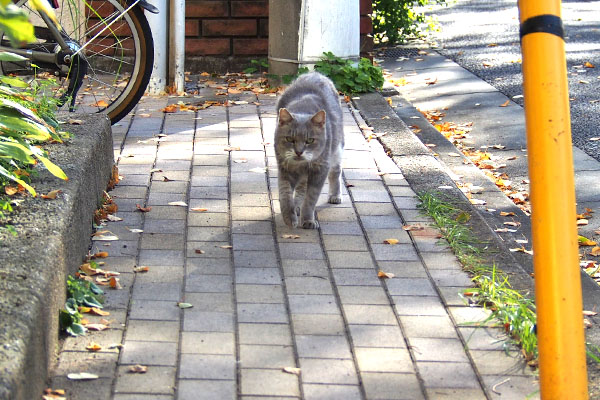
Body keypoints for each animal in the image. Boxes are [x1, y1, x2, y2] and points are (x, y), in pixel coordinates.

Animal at [274, 71, 344, 228]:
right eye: (290, 139)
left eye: (310, 140)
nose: (299, 151)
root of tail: (315, 73)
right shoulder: (284, 168)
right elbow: (285, 194)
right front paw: (289, 217)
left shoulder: (320, 170)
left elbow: (311, 198)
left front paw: (307, 220)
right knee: (301, 187)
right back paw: (296, 207)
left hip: (336, 151)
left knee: (336, 172)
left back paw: (335, 196)